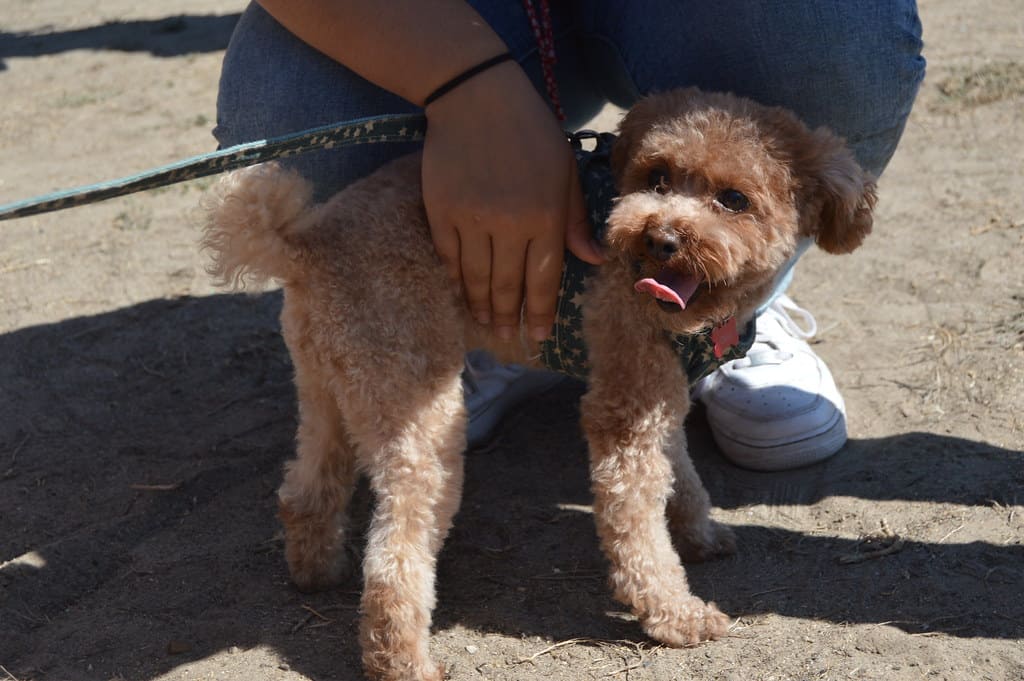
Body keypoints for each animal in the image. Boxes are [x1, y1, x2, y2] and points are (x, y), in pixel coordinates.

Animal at [201, 90, 880, 679]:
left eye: (734, 199)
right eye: (658, 178)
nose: (660, 238)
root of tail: (305, 243)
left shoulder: (660, 394)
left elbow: (682, 476)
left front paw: (702, 536)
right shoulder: (623, 407)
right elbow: (636, 526)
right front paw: (675, 616)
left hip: (331, 386)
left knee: (306, 489)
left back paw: (316, 572)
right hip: (419, 411)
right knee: (395, 560)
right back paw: (406, 663)